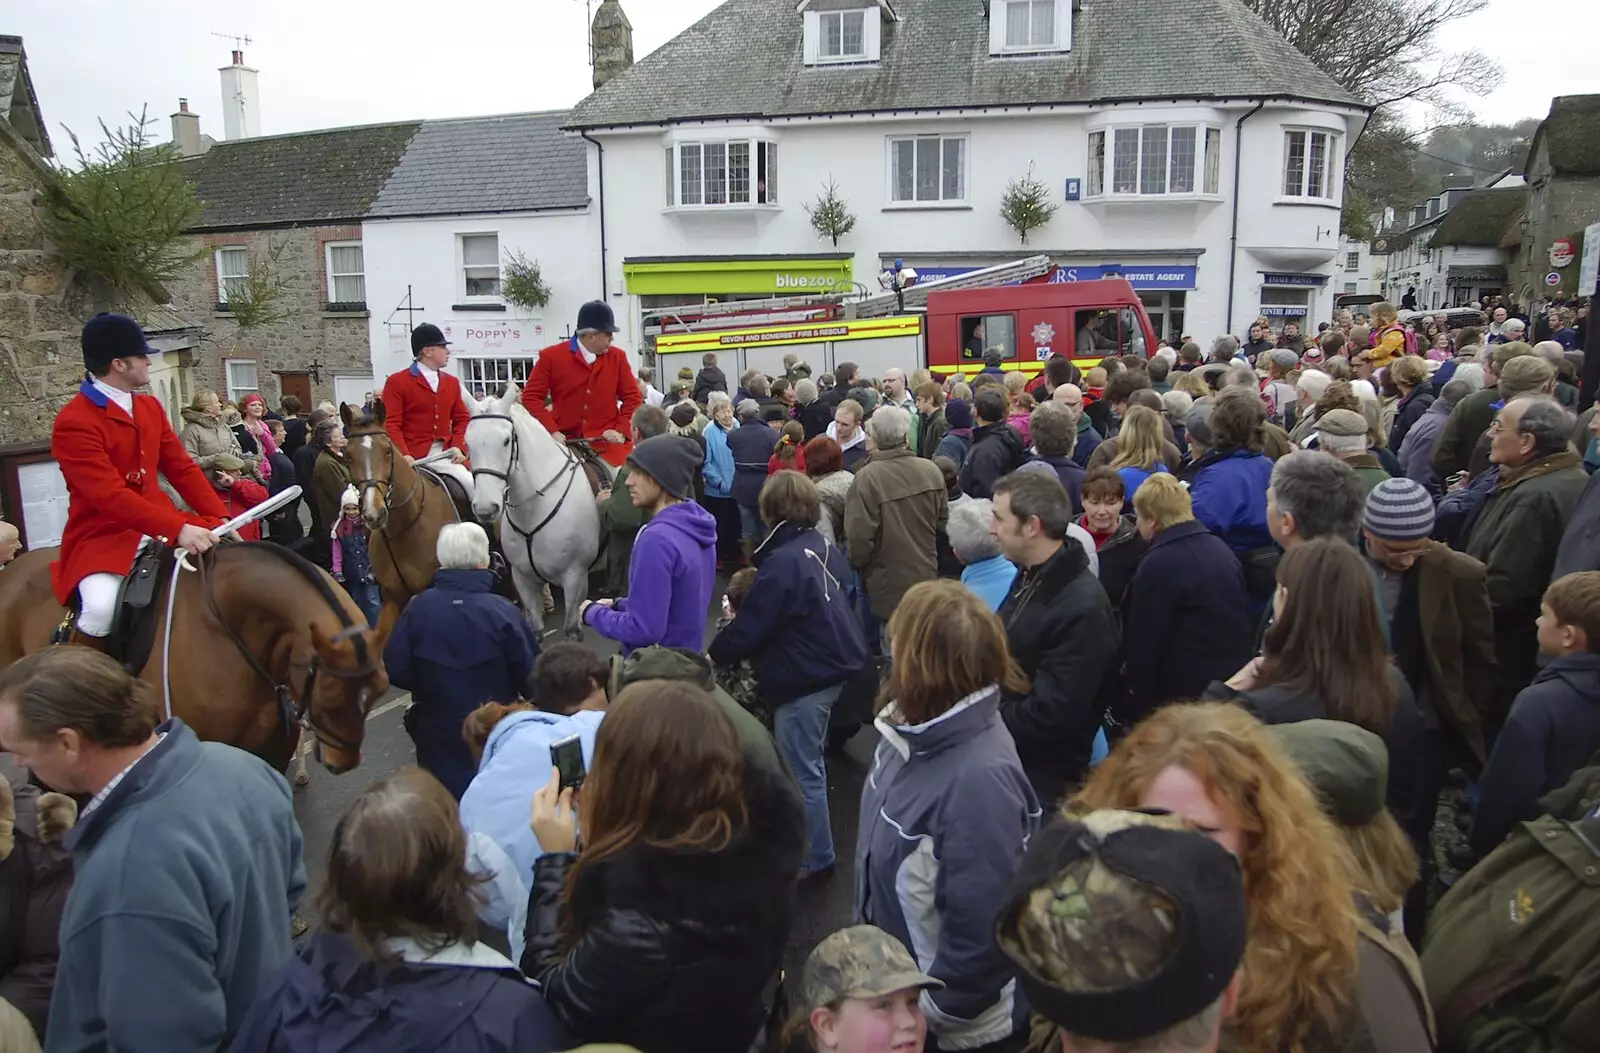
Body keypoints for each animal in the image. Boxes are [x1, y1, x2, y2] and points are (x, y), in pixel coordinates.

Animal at [467, 380, 611, 636]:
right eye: (467, 441)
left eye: (506, 440)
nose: (485, 508)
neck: (532, 511)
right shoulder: (523, 579)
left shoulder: (574, 578)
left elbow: (571, 630)